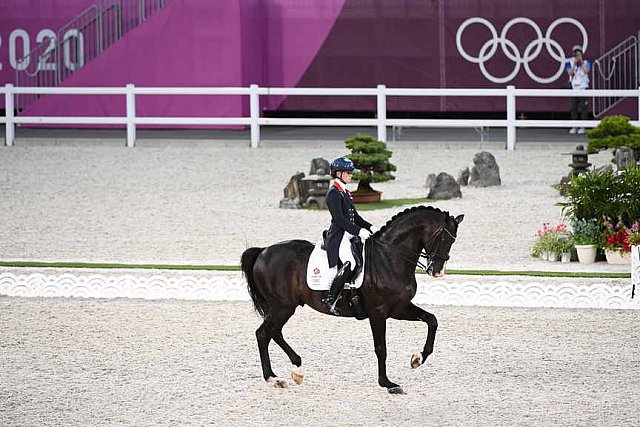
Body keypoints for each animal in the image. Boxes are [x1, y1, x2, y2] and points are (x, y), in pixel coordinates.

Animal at [242, 206, 462, 394]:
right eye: (443, 237)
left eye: (453, 240)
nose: (438, 271)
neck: (390, 257)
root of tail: (262, 251)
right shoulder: (378, 312)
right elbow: (381, 348)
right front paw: (387, 383)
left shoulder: (398, 308)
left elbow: (432, 320)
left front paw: (418, 359)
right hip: (283, 306)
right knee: (263, 333)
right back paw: (273, 378)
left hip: (284, 307)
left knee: (273, 332)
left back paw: (297, 370)